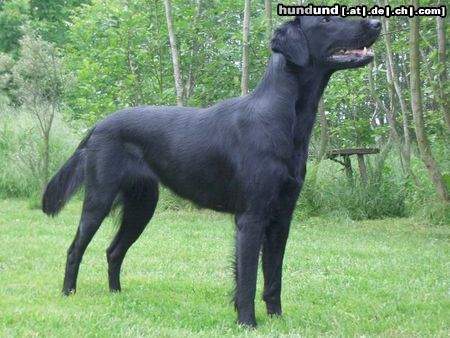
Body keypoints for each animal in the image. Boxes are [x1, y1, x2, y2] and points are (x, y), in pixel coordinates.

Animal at [41, 15, 380, 328]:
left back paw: (116, 295)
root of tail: (98, 126)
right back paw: (69, 294)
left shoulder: (282, 216)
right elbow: (247, 280)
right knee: (75, 249)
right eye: (326, 19)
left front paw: (277, 320)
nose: (377, 22)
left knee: (114, 251)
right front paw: (247, 323)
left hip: (143, 205)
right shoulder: (251, 216)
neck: (282, 118)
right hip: (99, 199)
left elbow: (274, 278)